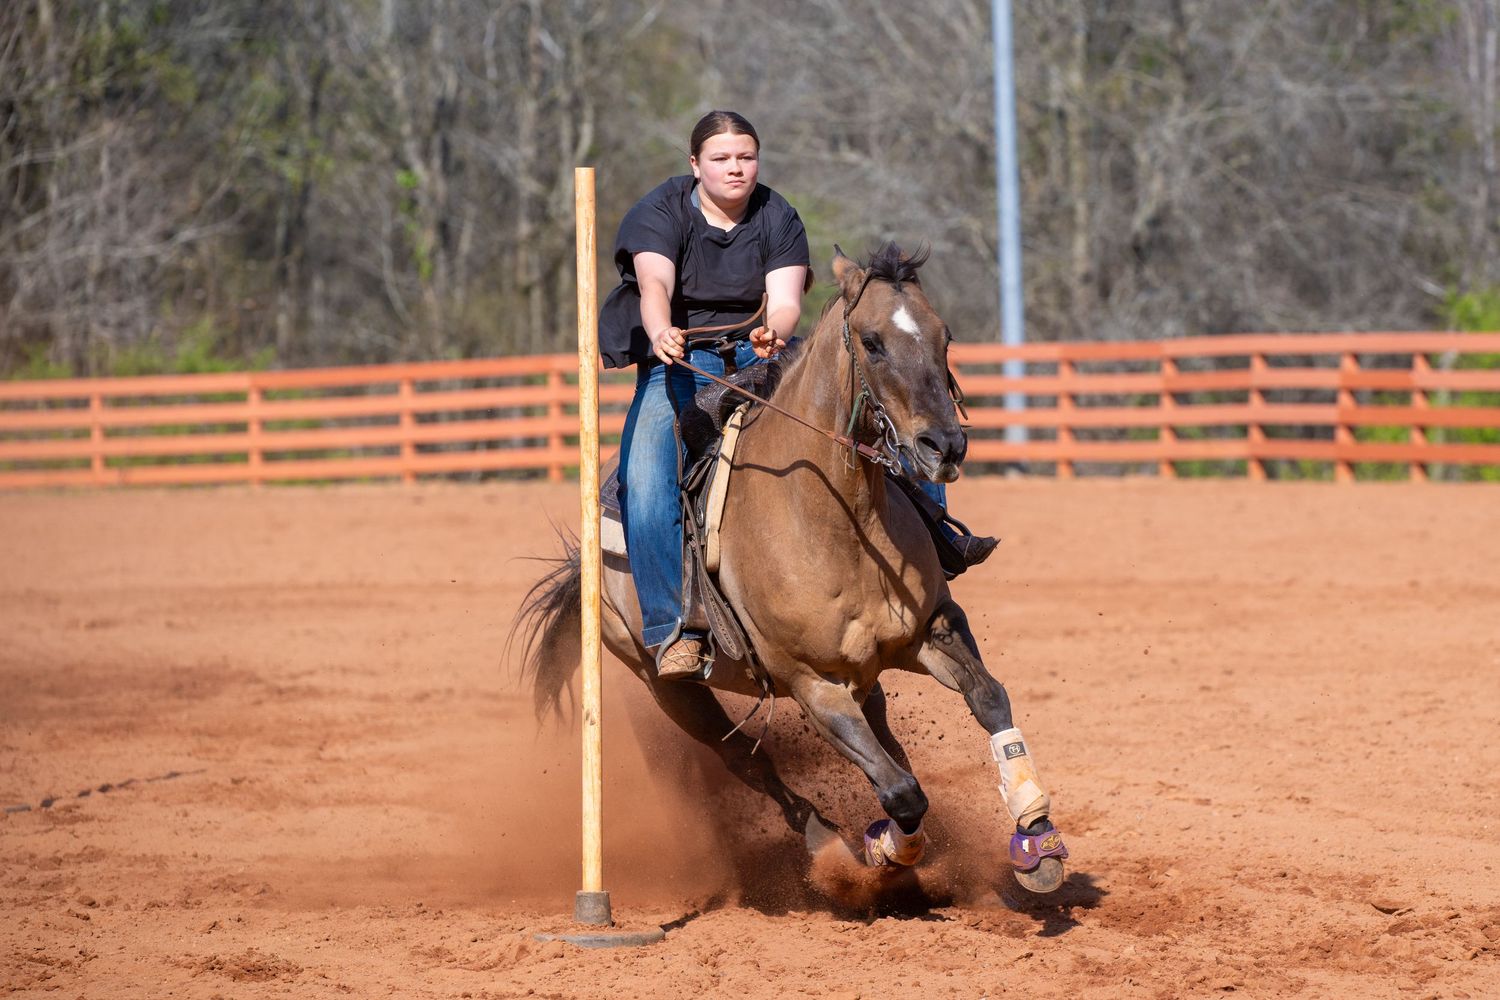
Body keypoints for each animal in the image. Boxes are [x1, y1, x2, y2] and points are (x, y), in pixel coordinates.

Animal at [514, 243, 1067, 896]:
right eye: (873, 342)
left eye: (944, 335)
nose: (945, 446)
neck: (837, 523)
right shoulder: (811, 684)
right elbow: (902, 793)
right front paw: (885, 851)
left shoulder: (933, 628)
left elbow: (989, 700)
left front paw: (1036, 840)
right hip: (664, 685)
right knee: (747, 760)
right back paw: (823, 839)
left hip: (863, 673)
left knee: (882, 734)